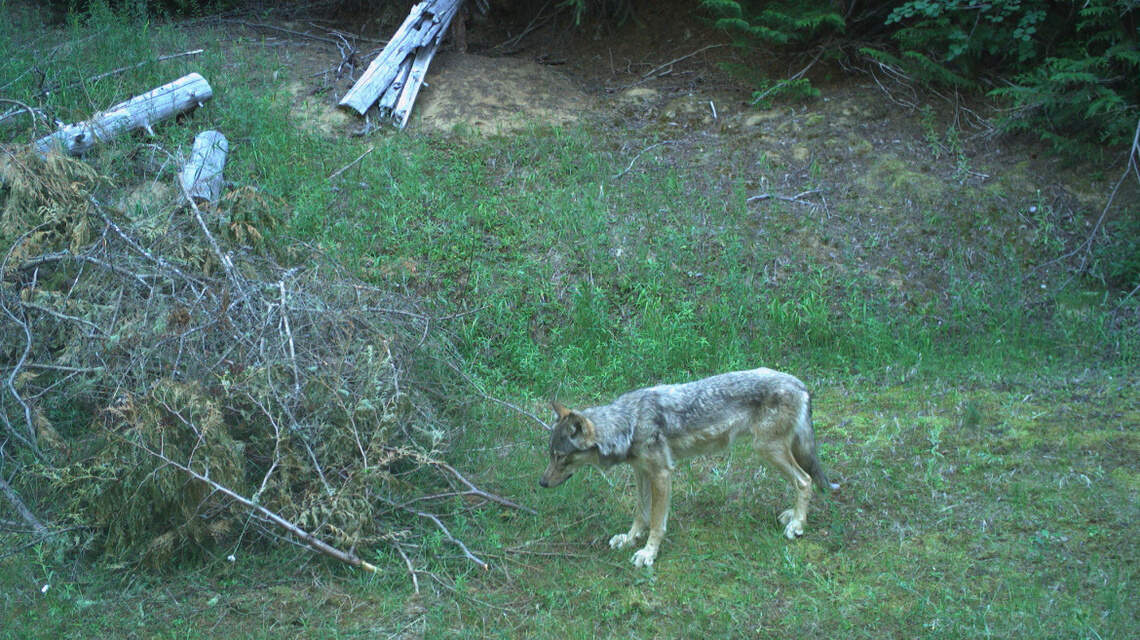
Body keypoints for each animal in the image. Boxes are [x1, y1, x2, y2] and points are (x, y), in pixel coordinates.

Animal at [539, 368, 837, 567]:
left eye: (561, 457)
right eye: (551, 455)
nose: (541, 483)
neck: (629, 423)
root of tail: (800, 383)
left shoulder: (662, 474)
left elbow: (657, 523)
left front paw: (648, 553)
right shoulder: (641, 472)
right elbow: (640, 515)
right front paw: (630, 539)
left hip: (767, 449)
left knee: (805, 480)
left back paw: (797, 525)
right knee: (804, 480)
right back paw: (792, 515)